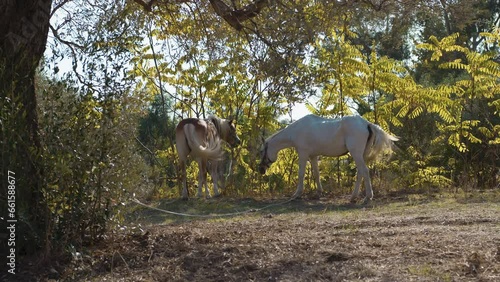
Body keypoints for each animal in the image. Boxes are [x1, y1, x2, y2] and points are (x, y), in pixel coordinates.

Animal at [258, 114, 398, 203]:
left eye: (261, 151)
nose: (261, 170)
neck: (296, 131)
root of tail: (366, 124)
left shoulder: (303, 154)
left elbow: (301, 174)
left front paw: (296, 194)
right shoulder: (313, 156)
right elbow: (316, 174)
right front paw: (319, 192)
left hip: (356, 154)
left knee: (364, 171)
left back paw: (368, 197)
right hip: (361, 155)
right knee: (360, 173)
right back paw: (353, 197)